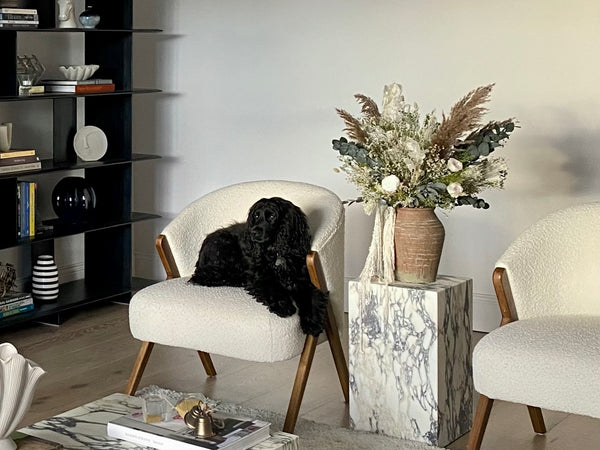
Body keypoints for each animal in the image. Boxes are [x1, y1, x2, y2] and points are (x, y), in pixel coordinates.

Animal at [189, 199, 326, 336]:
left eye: (272, 216)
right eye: (256, 215)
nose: (253, 232)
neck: (276, 252)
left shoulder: (302, 280)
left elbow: (310, 298)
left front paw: (312, 322)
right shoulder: (260, 277)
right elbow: (272, 288)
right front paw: (283, 305)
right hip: (225, 246)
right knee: (203, 277)